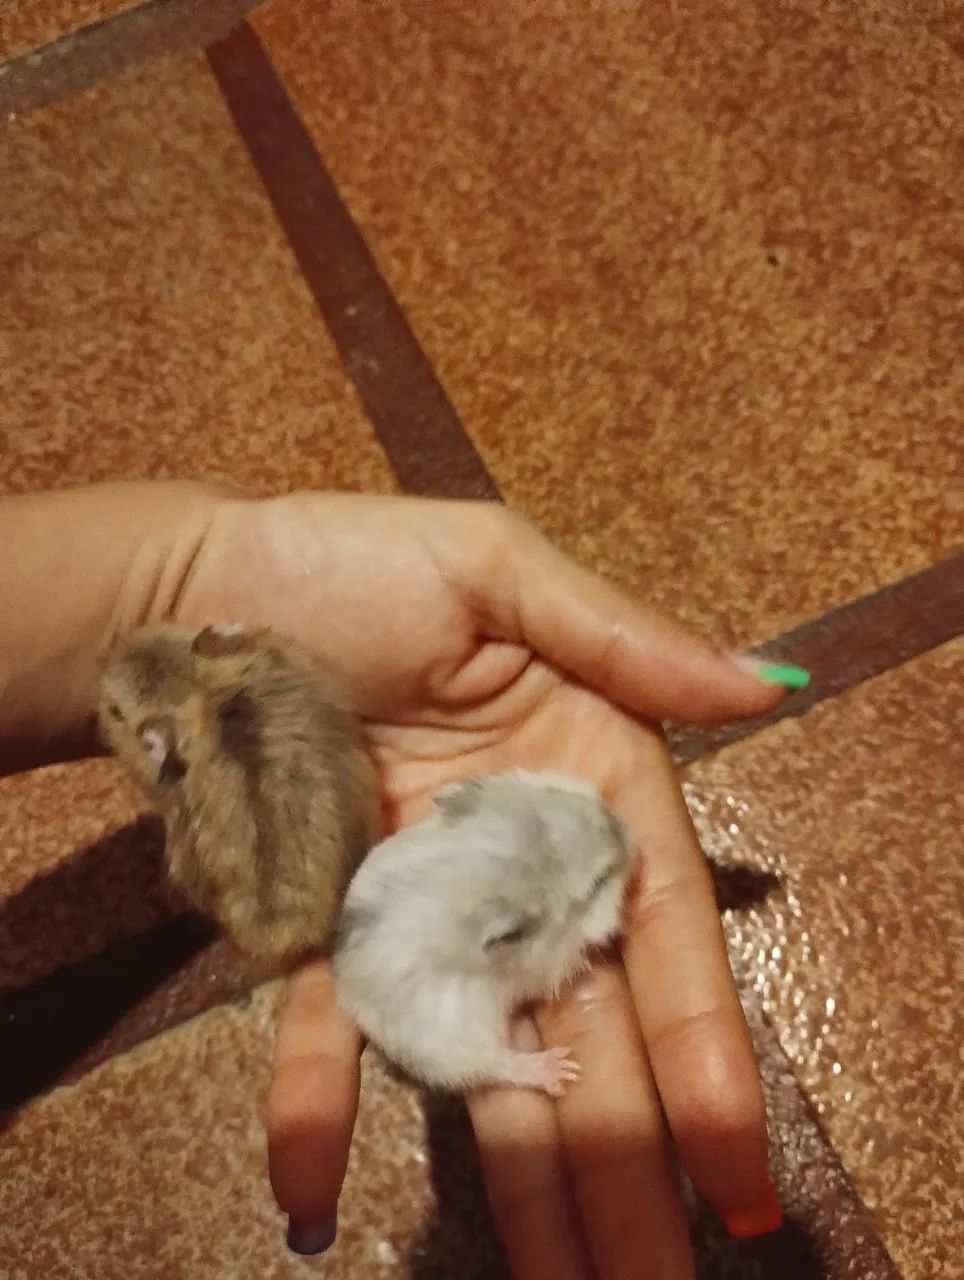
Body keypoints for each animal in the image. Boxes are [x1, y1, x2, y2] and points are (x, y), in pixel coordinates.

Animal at [332, 769, 634, 1096]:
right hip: (446, 1042)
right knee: (492, 1066)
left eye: (558, 794)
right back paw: (557, 1071)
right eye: (597, 884)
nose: (635, 841)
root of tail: (344, 986)